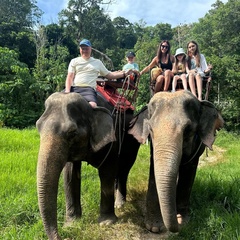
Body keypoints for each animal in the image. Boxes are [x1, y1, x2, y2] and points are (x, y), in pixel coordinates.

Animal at [36, 91, 140, 239]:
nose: (63, 236)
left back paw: (120, 204)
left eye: (72, 133)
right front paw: (72, 224)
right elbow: (70, 175)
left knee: (124, 169)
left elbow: (107, 172)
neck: (90, 107)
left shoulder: (112, 138)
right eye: (38, 127)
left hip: (133, 140)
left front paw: (106, 223)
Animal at [128, 91, 224, 233]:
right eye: (150, 129)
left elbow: (189, 170)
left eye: (188, 129)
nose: (177, 226)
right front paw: (154, 228)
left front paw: (182, 219)